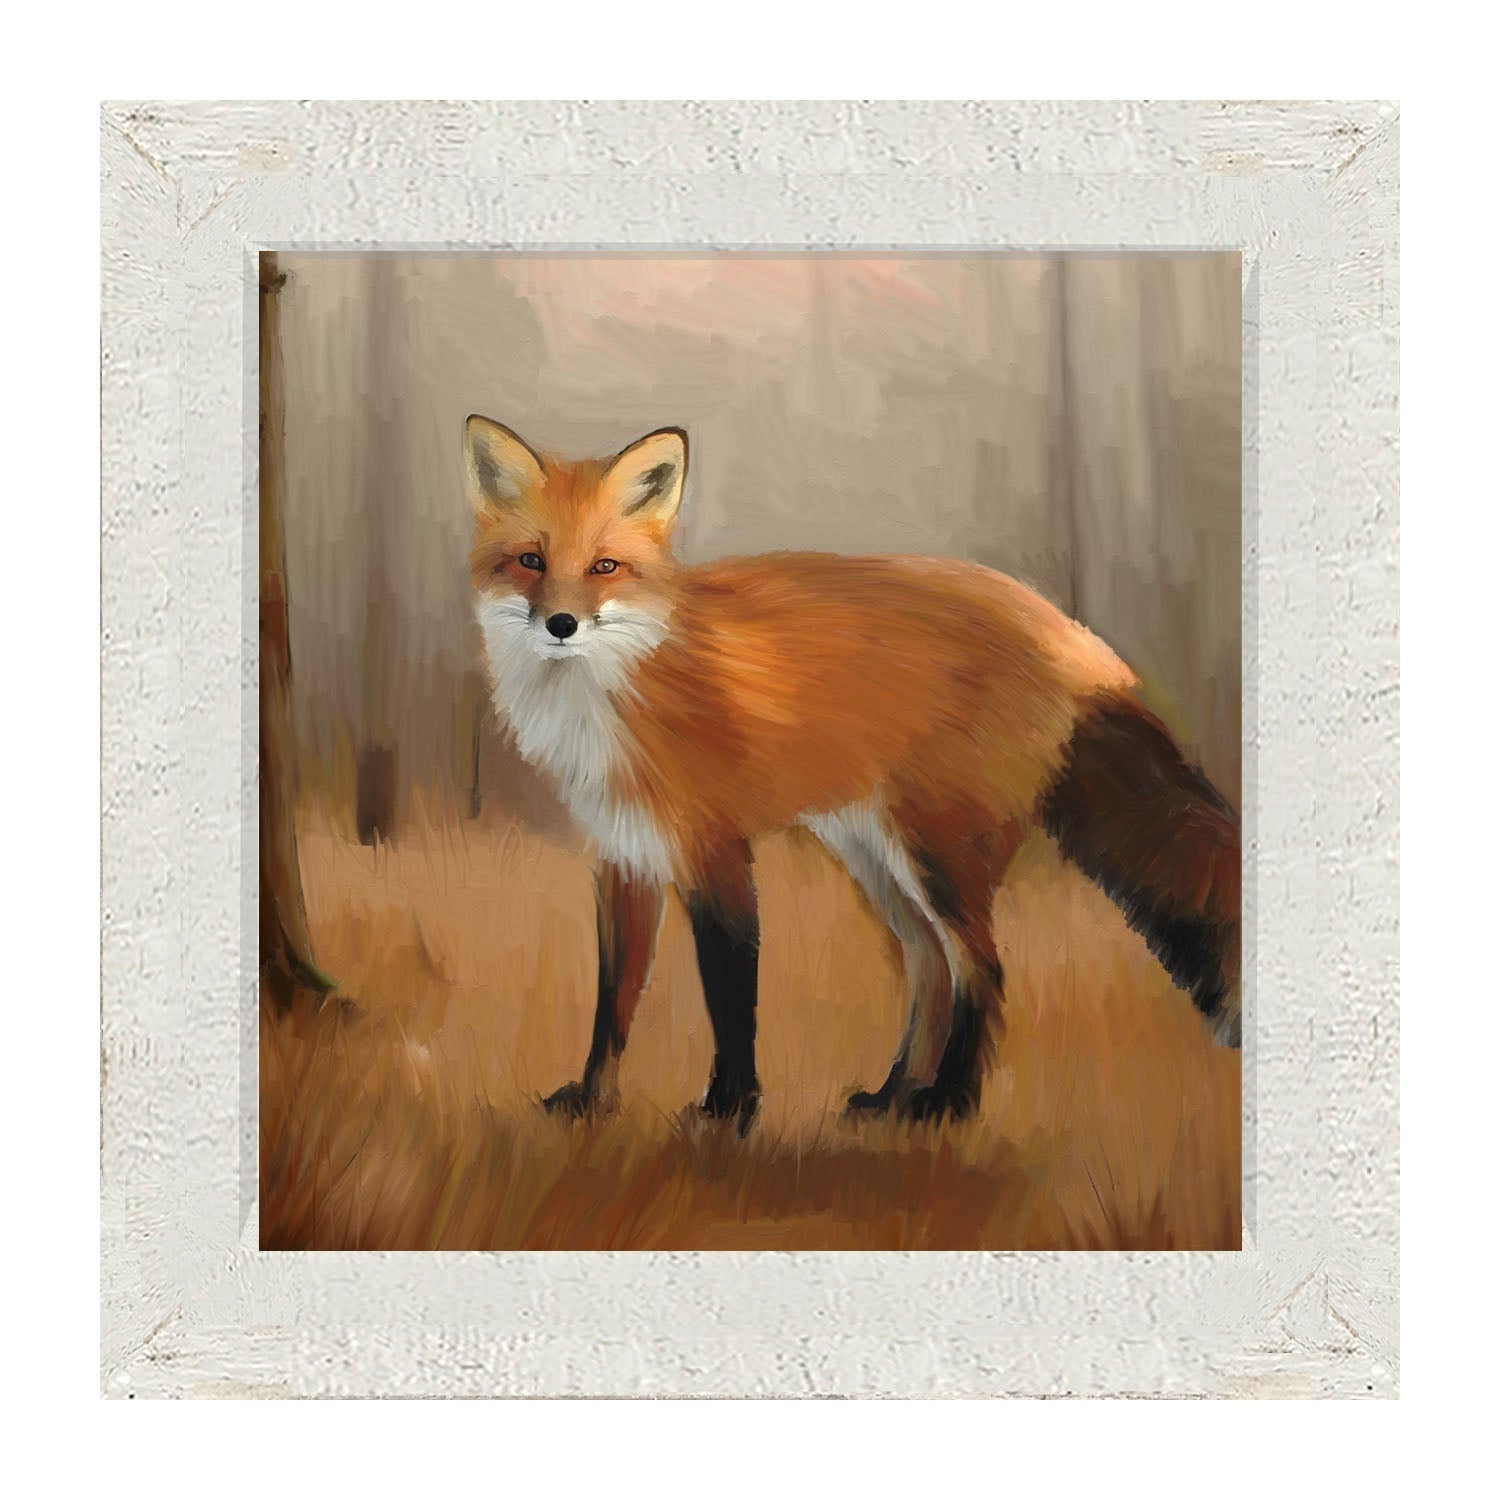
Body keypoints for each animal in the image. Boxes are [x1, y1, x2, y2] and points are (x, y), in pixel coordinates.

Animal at [465, 416, 1241, 1131]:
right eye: (530, 560)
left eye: (604, 567)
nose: (561, 624)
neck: (617, 688)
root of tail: (1071, 633)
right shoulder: (625, 857)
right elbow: (614, 1002)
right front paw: (592, 1101)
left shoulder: (716, 852)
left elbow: (730, 993)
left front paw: (730, 1110)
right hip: (877, 856)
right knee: (930, 968)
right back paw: (891, 1096)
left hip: (937, 854)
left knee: (983, 969)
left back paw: (948, 1104)